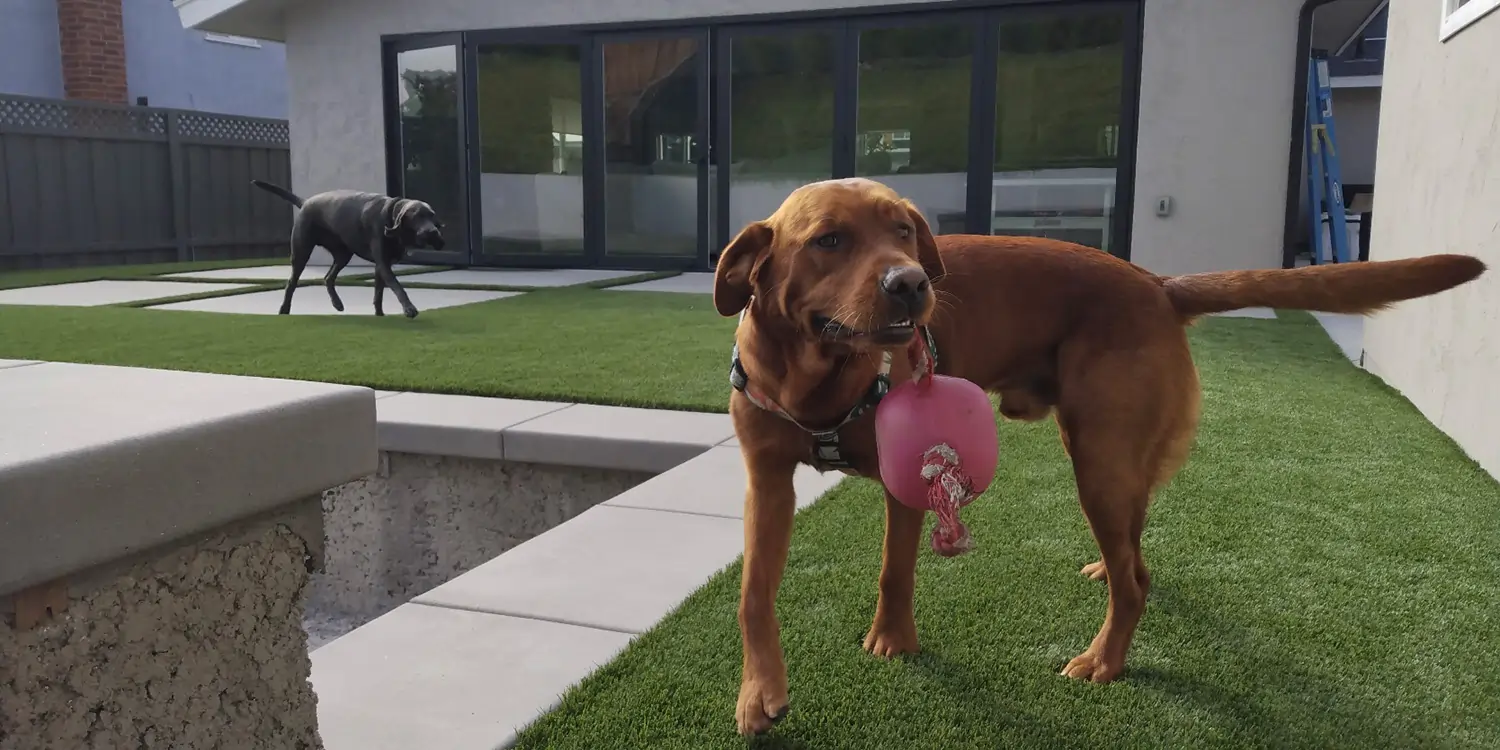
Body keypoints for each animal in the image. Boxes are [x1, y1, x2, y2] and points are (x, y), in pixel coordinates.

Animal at [252, 180, 444, 318]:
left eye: (432, 216)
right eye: (416, 216)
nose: (432, 232)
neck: (391, 219)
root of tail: (306, 202)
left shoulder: (381, 266)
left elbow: (378, 293)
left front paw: (379, 314)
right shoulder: (383, 264)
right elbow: (398, 287)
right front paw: (409, 309)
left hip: (343, 254)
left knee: (328, 278)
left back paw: (337, 303)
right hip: (301, 252)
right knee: (292, 282)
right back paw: (284, 309)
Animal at [717, 178, 1488, 735]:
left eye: (904, 229)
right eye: (830, 240)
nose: (910, 282)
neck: (816, 380)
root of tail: (1157, 283)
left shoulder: (905, 480)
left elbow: (892, 570)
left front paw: (890, 640)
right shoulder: (766, 482)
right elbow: (753, 594)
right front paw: (759, 694)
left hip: (1097, 456)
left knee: (1137, 581)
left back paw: (1105, 661)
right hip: (1113, 457)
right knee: (1134, 551)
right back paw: (1103, 576)